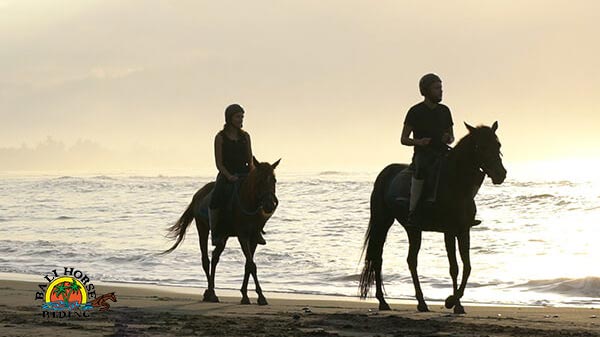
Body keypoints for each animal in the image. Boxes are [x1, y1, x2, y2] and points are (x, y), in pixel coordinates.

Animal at [161, 158, 280, 304]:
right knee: (205, 260)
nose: (269, 205)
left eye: (274, 180)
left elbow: (248, 264)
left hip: (224, 235)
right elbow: (252, 265)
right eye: (259, 180)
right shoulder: (242, 236)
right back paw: (211, 293)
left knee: (215, 257)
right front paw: (260, 297)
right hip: (203, 229)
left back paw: (210, 292)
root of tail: (197, 195)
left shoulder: (253, 238)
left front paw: (245, 295)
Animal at [360, 121, 506, 312]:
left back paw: (421, 302)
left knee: (411, 260)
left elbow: (467, 267)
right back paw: (383, 301)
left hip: (413, 229)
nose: (501, 174)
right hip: (382, 221)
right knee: (378, 258)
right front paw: (451, 302)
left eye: (498, 145)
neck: (456, 184)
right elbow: (454, 268)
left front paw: (457, 303)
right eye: (481, 146)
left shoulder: (464, 230)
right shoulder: (449, 231)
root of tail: (385, 173)